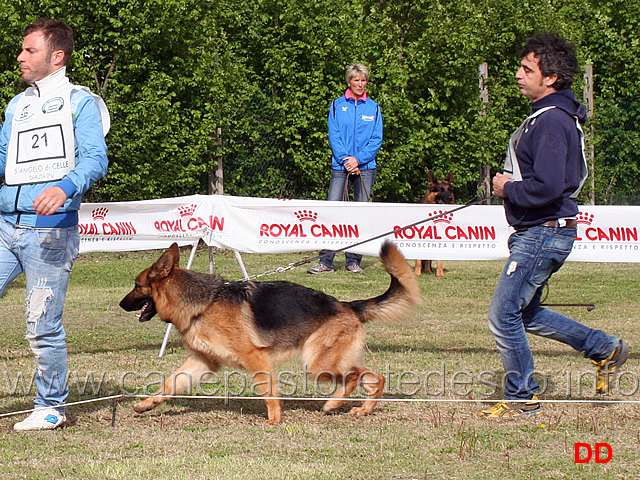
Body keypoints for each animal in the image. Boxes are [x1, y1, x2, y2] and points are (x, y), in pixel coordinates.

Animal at [119, 242, 420, 422]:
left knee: (355, 377)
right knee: (374, 376)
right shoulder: (202, 362)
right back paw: (363, 408)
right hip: (329, 362)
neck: (204, 303)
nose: (121, 304)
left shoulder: (255, 358)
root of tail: (347, 305)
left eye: (136, 285)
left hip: (317, 364)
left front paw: (274, 420)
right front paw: (146, 405)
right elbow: (169, 384)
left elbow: (268, 391)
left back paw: (333, 405)